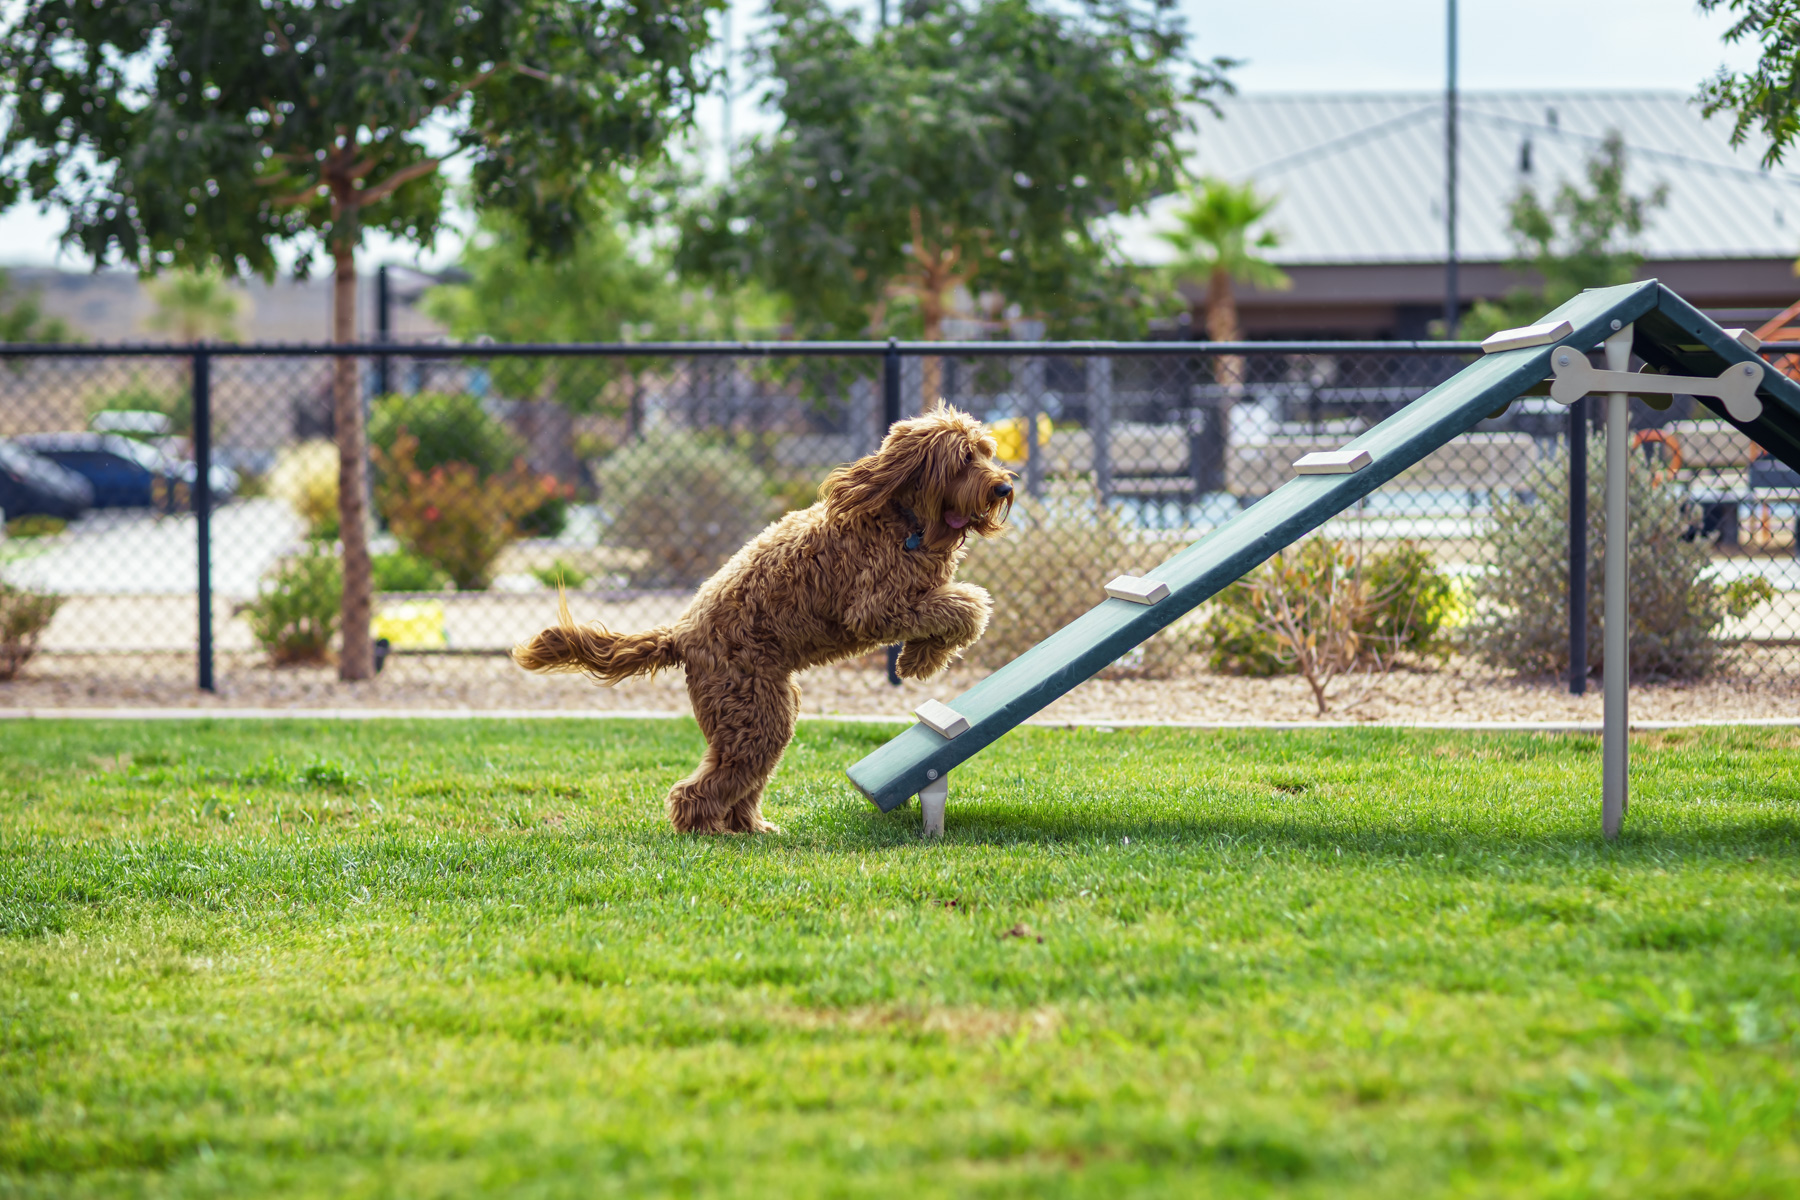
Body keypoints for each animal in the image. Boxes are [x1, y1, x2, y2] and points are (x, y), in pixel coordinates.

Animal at [518, 402, 1015, 834]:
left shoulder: (908, 598)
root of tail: (681, 634)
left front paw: (919, 659)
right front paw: (921, 659)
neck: (903, 518)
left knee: (742, 781)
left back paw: (752, 826)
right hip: (753, 712)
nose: (1005, 488)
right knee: (700, 788)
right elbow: (968, 605)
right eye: (963, 458)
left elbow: (954, 609)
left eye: (986, 451)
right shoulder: (876, 606)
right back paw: (707, 830)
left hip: (767, 712)